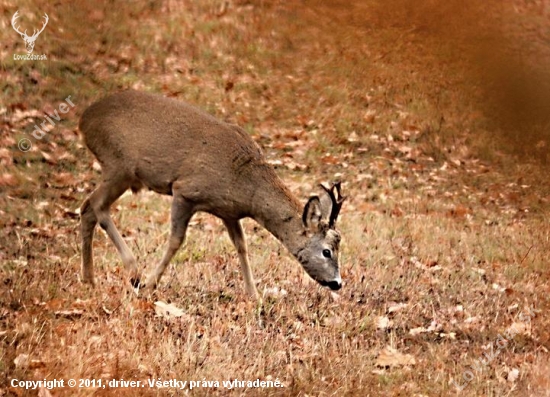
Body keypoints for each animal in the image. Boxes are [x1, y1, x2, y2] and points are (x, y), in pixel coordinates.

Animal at [78, 89, 344, 296]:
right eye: (327, 251)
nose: (337, 283)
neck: (247, 186)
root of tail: (84, 120)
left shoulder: (229, 213)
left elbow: (242, 246)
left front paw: (254, 295)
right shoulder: (185, 191)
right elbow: (176, 240)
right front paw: (151, 284)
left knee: (87, 208)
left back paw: (89, 280)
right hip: (119, 164)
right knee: (97, 205)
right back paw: (133, 272)